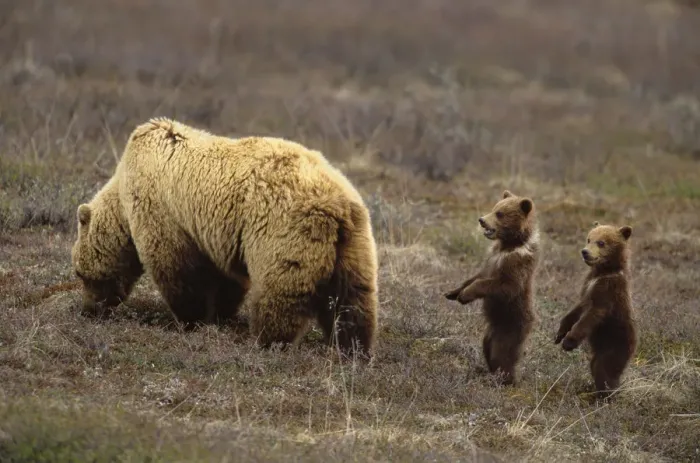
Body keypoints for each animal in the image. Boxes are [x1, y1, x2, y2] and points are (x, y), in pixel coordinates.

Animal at [71, 117, 379, 357]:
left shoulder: (161, 209)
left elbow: (175, 267)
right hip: (355, 244)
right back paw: (352, 348)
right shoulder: (219, 236)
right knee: (353, 298)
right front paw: (219, 313)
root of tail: (336, 204)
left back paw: (268, 341)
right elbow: (228, 279)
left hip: (285, 231)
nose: (88, 310)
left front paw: (190, 319)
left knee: (281, 292)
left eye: (79, 273)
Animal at [444, 190, 540, 385]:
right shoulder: (491, 259)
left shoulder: (515, 266)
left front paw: (465, 295)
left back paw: (504, 379)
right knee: (487, 347)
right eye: (495, 208)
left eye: (500, 214)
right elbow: (476, 276)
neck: (508, 245)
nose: (482, 219)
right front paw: (453, 292)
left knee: (502, 355)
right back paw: (485, 371)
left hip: (511, 327)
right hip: (491, 332)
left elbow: (502, 286)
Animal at [555, 222, 637, 399]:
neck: (603, 272)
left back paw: (605, 395)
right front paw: (560, 333)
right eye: (589, 238)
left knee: (604, 369)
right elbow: (576, 310)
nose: (585, 252)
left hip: (616, 343)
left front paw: (568, 342)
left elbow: (592, 315)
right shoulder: (587, 286)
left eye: (601, 242)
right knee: (595, 365)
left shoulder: (608, 291)